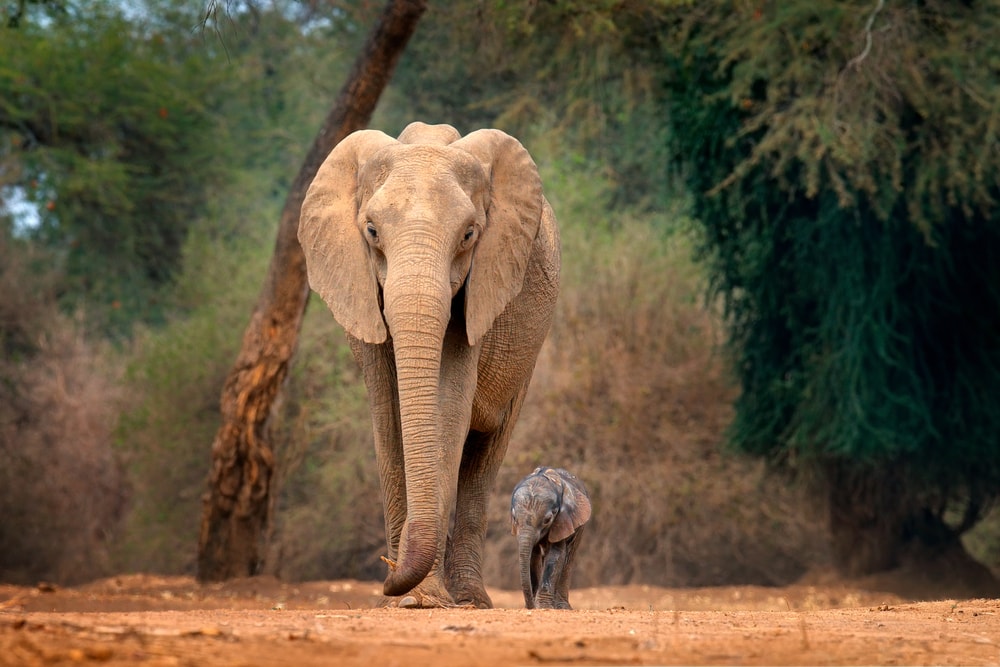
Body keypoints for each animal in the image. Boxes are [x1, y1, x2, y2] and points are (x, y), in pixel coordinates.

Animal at [298, 122, 560, 609]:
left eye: (469, 235)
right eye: (371, 231)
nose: (386, 574)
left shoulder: (481, 287)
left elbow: (449, 408)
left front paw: (422, 598)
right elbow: (388, 415)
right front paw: (402, 601)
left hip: (529, 349)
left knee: (486, 453)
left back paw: (472, 599)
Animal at [510, 466, 591, 610]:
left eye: (547, 520)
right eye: (514, 518)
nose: (530, 606)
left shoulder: (563, 520)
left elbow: (555, 555)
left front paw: (544, 607)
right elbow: (533, 556)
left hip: (580, 524)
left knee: (569, 557)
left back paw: (562, 607)